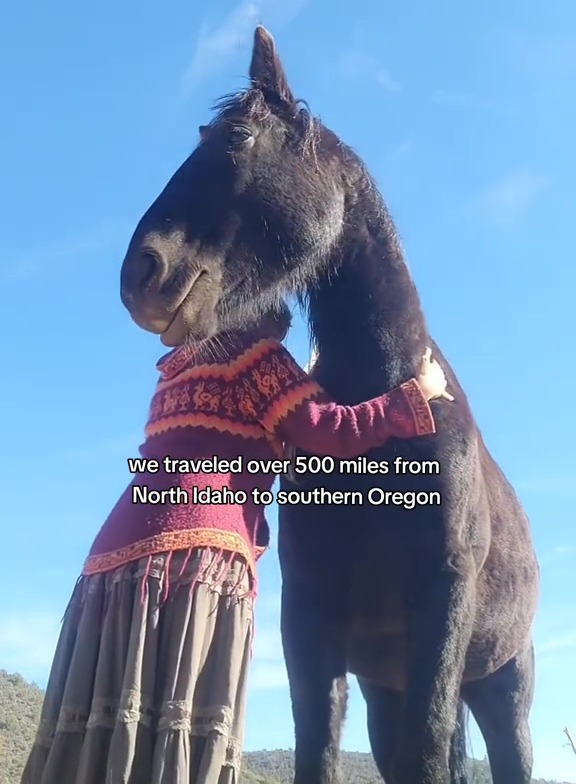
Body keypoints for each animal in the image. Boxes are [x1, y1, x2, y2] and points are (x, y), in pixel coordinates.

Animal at [118, 24, 540, 784]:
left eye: (236, 140)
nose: (142, 274)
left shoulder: (442, 605)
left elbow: (429, 745)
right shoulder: (311, 619)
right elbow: (317, 745)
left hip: (502, 685)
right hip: (387, 690)